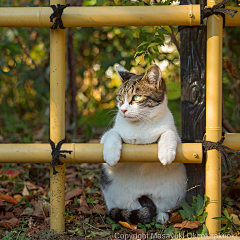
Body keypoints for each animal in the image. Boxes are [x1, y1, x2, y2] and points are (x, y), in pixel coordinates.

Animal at [100, 64, 187, 225]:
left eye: (136, 97)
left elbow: (168, 133)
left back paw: (162, 216)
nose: (123, 110)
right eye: (120, 98)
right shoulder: (107, 136)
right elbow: (112, 135)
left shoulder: (177, 137)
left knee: (162, 208)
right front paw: (111, 155)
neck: (139, 125)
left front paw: (166, 153)